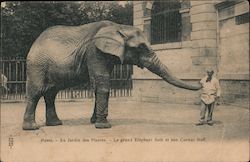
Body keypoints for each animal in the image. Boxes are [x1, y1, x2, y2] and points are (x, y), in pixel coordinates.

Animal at [22, 20, 202, 130]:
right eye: (141, 48)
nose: (202, 81)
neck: (118, 27)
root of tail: (35, 42)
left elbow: (98, 85)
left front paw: (95, 122)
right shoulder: (94, 51)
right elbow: (102, 84)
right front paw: (103, 126)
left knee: (51, 93)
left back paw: (55, 124)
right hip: (37, 65)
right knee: (36, 92)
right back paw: (32, 128)